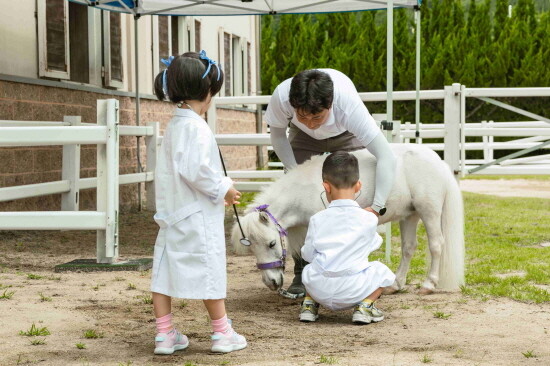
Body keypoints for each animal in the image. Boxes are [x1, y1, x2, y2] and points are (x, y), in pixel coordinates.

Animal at [232, 143, 466, 294]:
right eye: (252, 248)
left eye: (272, 243)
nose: (271, 282)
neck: (304, 191)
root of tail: (437, 161)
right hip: (410, 215)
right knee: (409, 248)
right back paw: (395, 284)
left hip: (429, 211)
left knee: (436, 244)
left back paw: (428, 285)